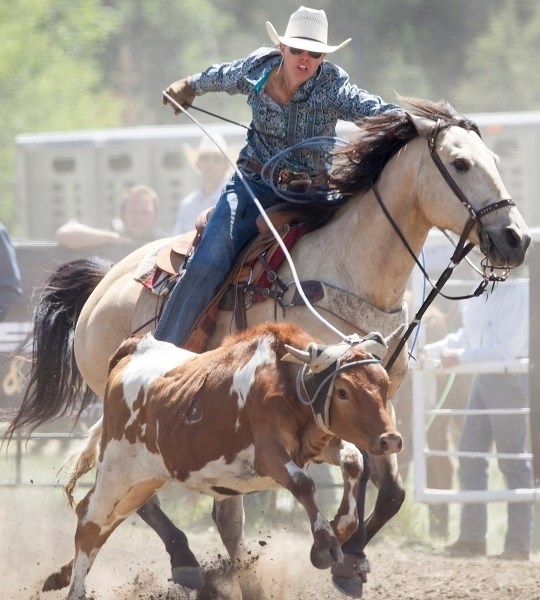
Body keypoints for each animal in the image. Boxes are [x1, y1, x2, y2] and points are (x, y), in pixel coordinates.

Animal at [10, 97, 528, 596]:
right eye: (460, 163)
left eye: (496, 160)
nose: (516, 239)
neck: (350, 270)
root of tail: (103, 282)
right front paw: (338, 553)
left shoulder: (380, 405)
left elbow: (391, 492)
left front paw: (351, 560)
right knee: (131, 494)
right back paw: (184, 560)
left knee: (215, 512)